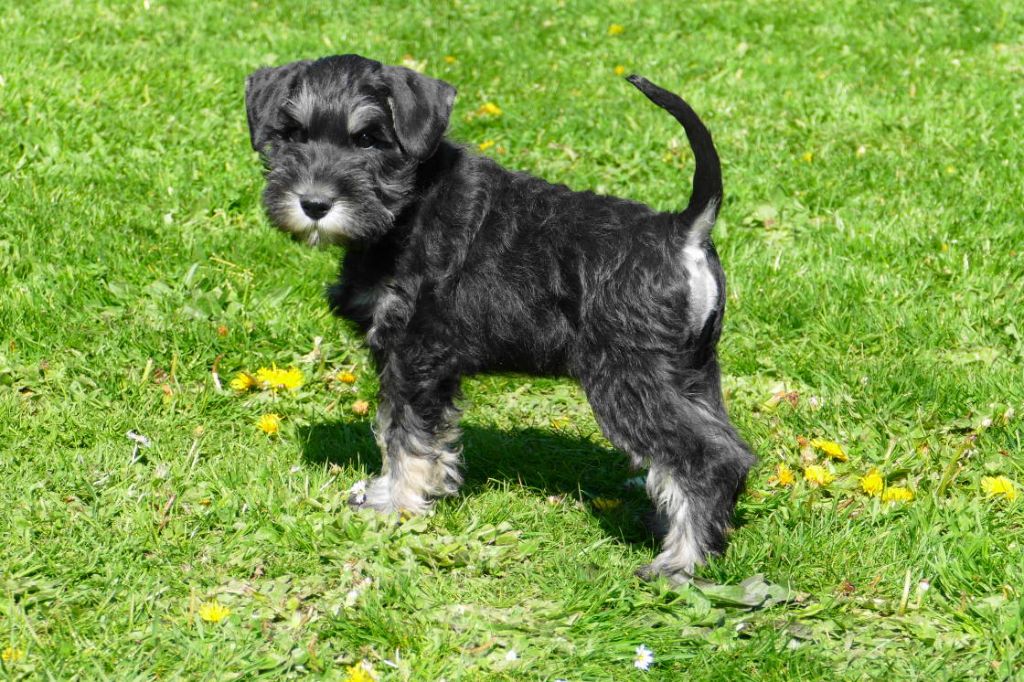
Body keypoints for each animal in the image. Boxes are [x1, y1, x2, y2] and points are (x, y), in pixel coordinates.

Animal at [245, 54, 755, 584]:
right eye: (293, 133)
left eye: (367, 138)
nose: (314, 204)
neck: (407, 205)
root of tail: (683, 229)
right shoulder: (419, 364)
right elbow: (404, 431)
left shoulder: (413, 355)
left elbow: (404, 435)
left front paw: (397, 503)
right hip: (692, 373)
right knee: (727, 451)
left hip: (628, 377)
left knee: (706, 458)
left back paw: (681, 562)